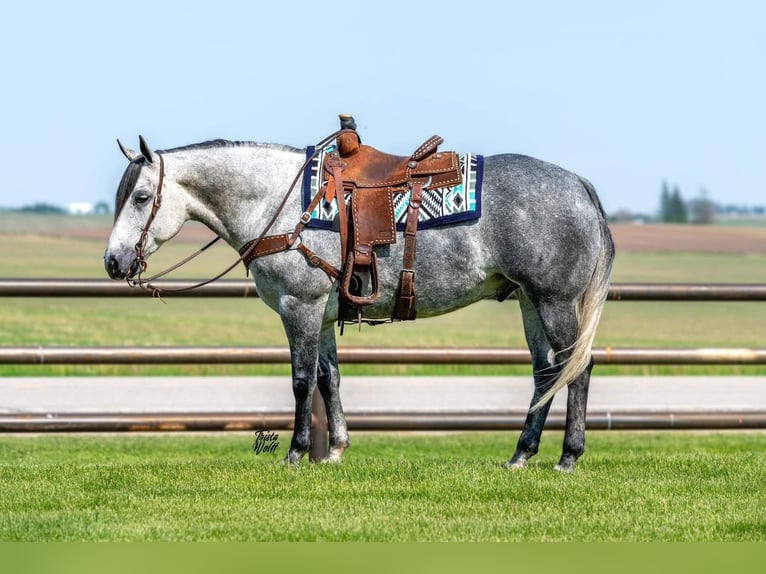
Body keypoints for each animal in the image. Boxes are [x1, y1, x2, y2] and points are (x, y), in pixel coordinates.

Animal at [105, 130, 616, 472]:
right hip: (530, 301)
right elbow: (328, 378)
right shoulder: (323, 313)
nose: (113, 261)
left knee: (576, 367)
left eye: (142, 197)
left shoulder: (300, 305)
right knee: (546, 371)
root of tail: (580, 185)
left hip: (553, 300)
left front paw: (296, 453)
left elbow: (301, 380)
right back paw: (521, 454)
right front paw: (334, 450)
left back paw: (568, 456)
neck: (280, 203)